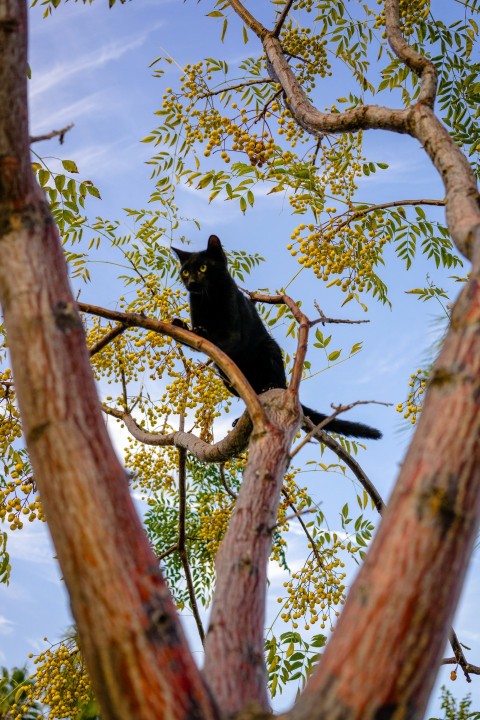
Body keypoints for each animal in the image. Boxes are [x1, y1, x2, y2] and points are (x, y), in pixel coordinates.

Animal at [171, 236, 380, 438]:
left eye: (203, 268)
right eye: (186, 272)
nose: (191, 282)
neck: (207, 299)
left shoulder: (233, 332)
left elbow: (216, 339)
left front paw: (200, 333)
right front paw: (180, 326)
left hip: (268, 349)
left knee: (271, 383)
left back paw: (269, 388)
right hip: (227, 378)